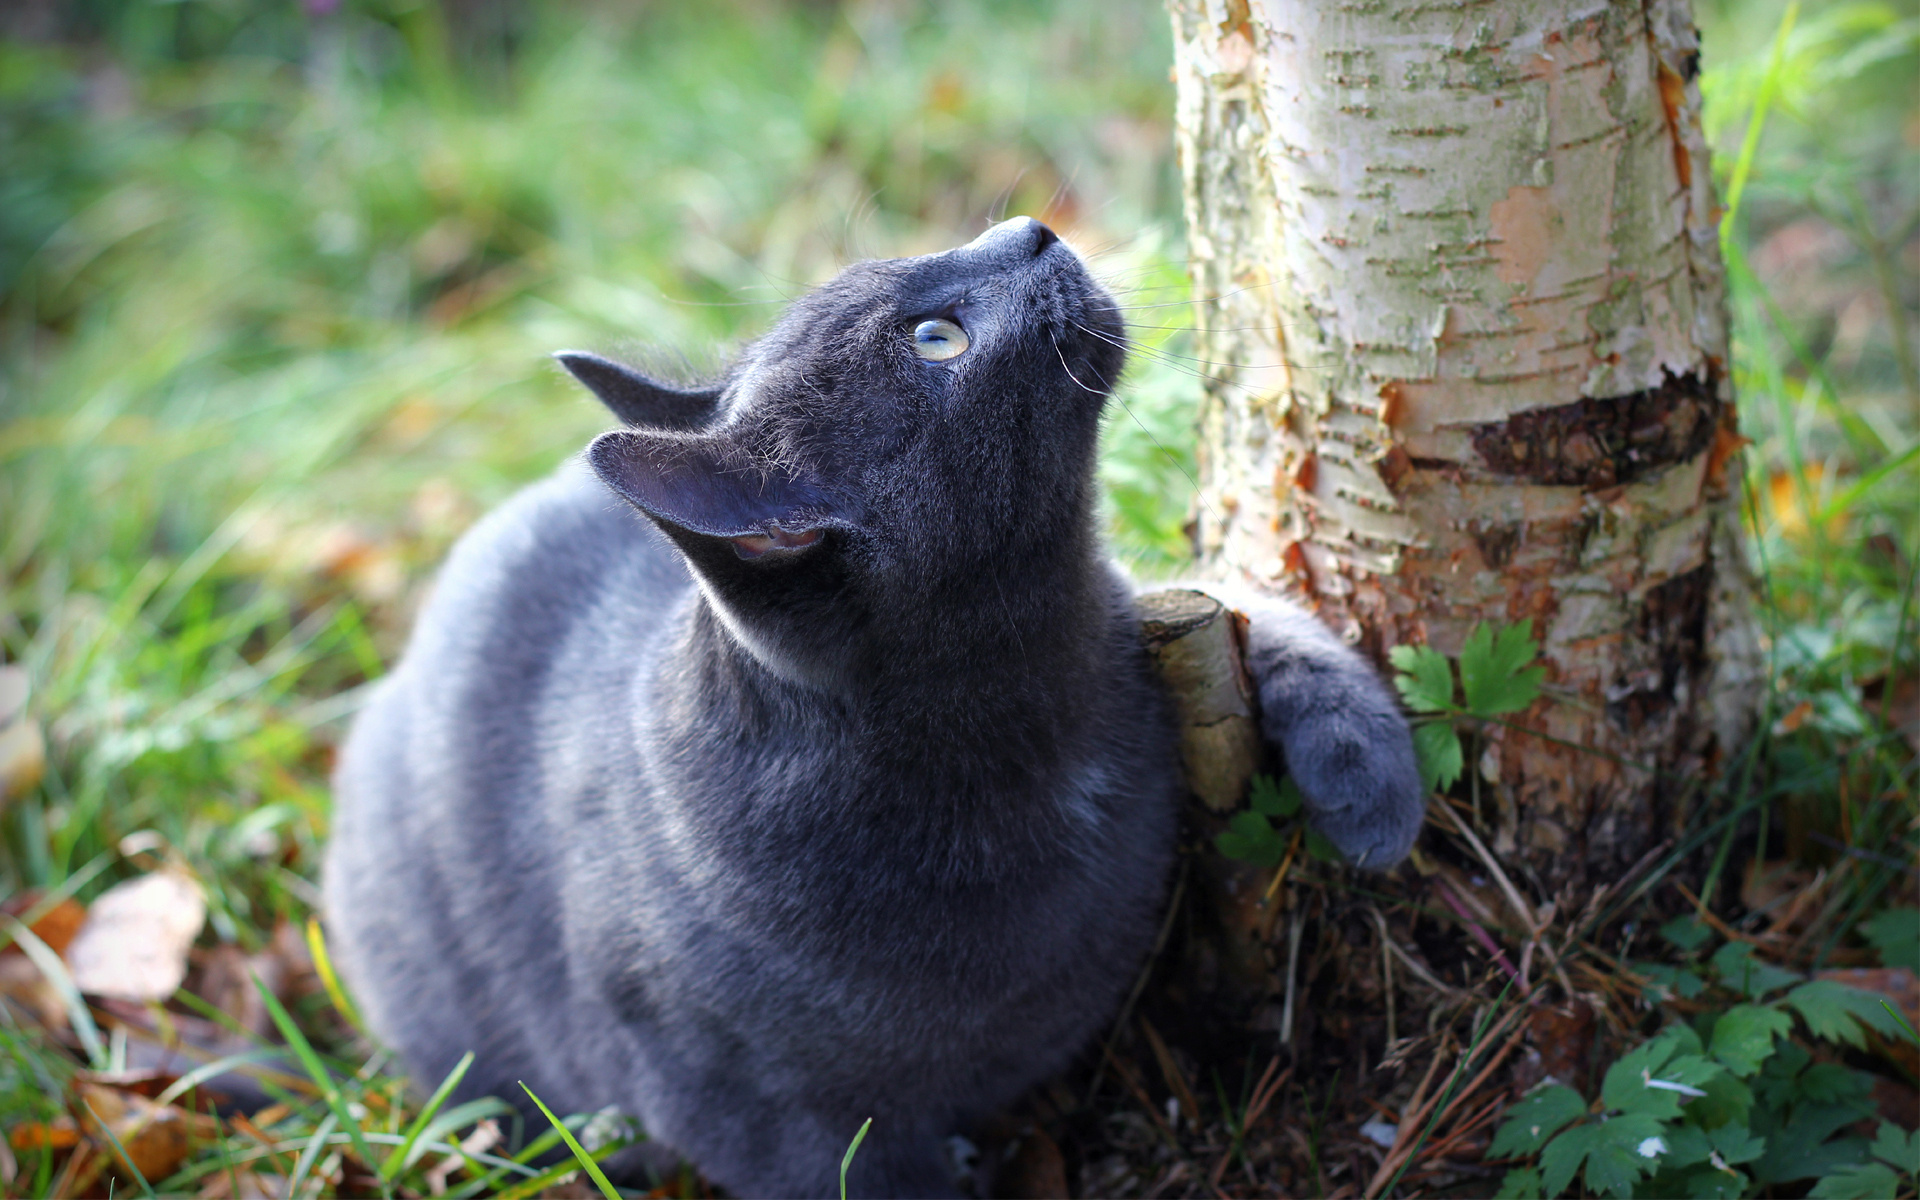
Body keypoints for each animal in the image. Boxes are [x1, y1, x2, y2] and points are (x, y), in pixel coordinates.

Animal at [322, 217, 1420, 1198]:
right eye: (937, 340)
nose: (1029, 229)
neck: (1026, 702)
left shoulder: (1131, 613)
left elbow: (1256, 608)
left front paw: (1370, 786)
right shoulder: (759, 1120)